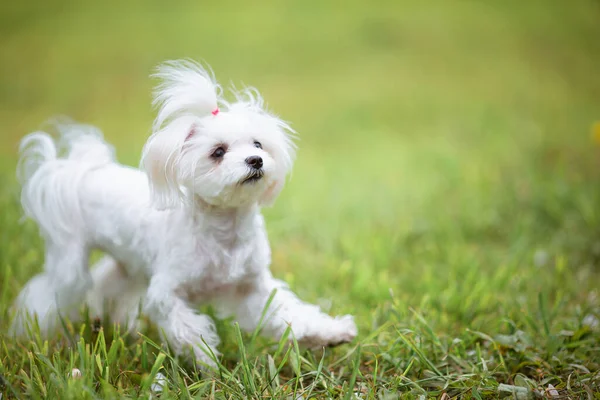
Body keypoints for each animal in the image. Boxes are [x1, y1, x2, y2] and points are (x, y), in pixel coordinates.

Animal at [11, 59, 356, 368]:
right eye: (218, 152)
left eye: (258, 144)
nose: (255, 160)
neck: (224, 230)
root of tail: (80, 171)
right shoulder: (166, 293)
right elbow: (188, 329)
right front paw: (208, 362)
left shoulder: (253, 287)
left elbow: (291, 313)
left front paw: (330, 333)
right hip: (70, 262)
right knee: (49, 292)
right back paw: (32, 334)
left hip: (130, 263)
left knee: (110, 285)